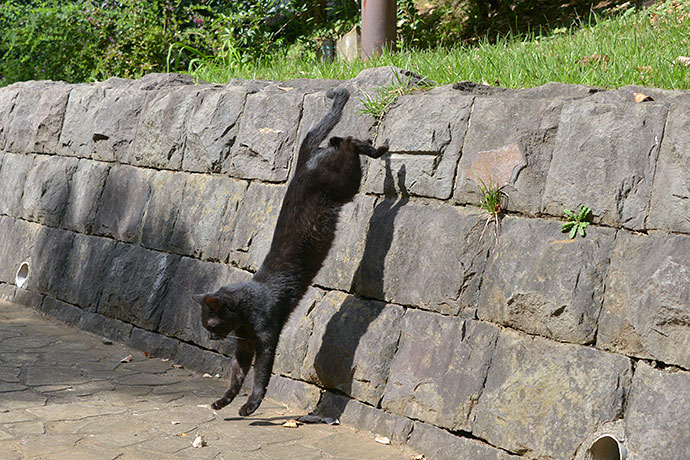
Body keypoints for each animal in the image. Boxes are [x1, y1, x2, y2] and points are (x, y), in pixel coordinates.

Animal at [191, 87, 388, 416]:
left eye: (211, 323)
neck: (244, 317)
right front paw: (224, 401)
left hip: (346, 182)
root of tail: (302, 161)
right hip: (342, 179)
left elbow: (260, 376)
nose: (208, 335)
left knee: (347, 142)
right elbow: (236, 375)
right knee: (336, 140)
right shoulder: (243, 346)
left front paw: (252, 406)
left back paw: (379, 151)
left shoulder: (266, 340)